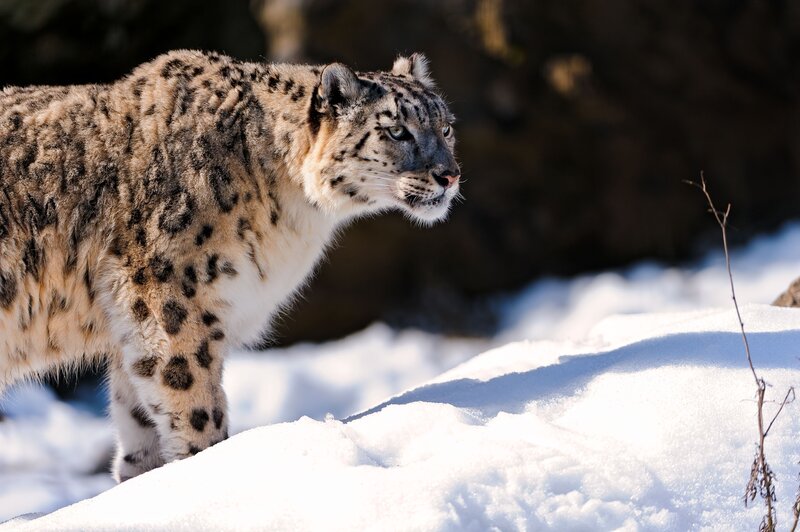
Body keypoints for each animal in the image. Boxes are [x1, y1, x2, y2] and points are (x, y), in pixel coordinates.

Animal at [0, 50, 460, 481]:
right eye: (396, 130)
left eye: (446, 127)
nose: (449, 175)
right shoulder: (173, 307)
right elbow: (196, 408)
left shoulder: (131, 336)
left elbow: (139, 428)